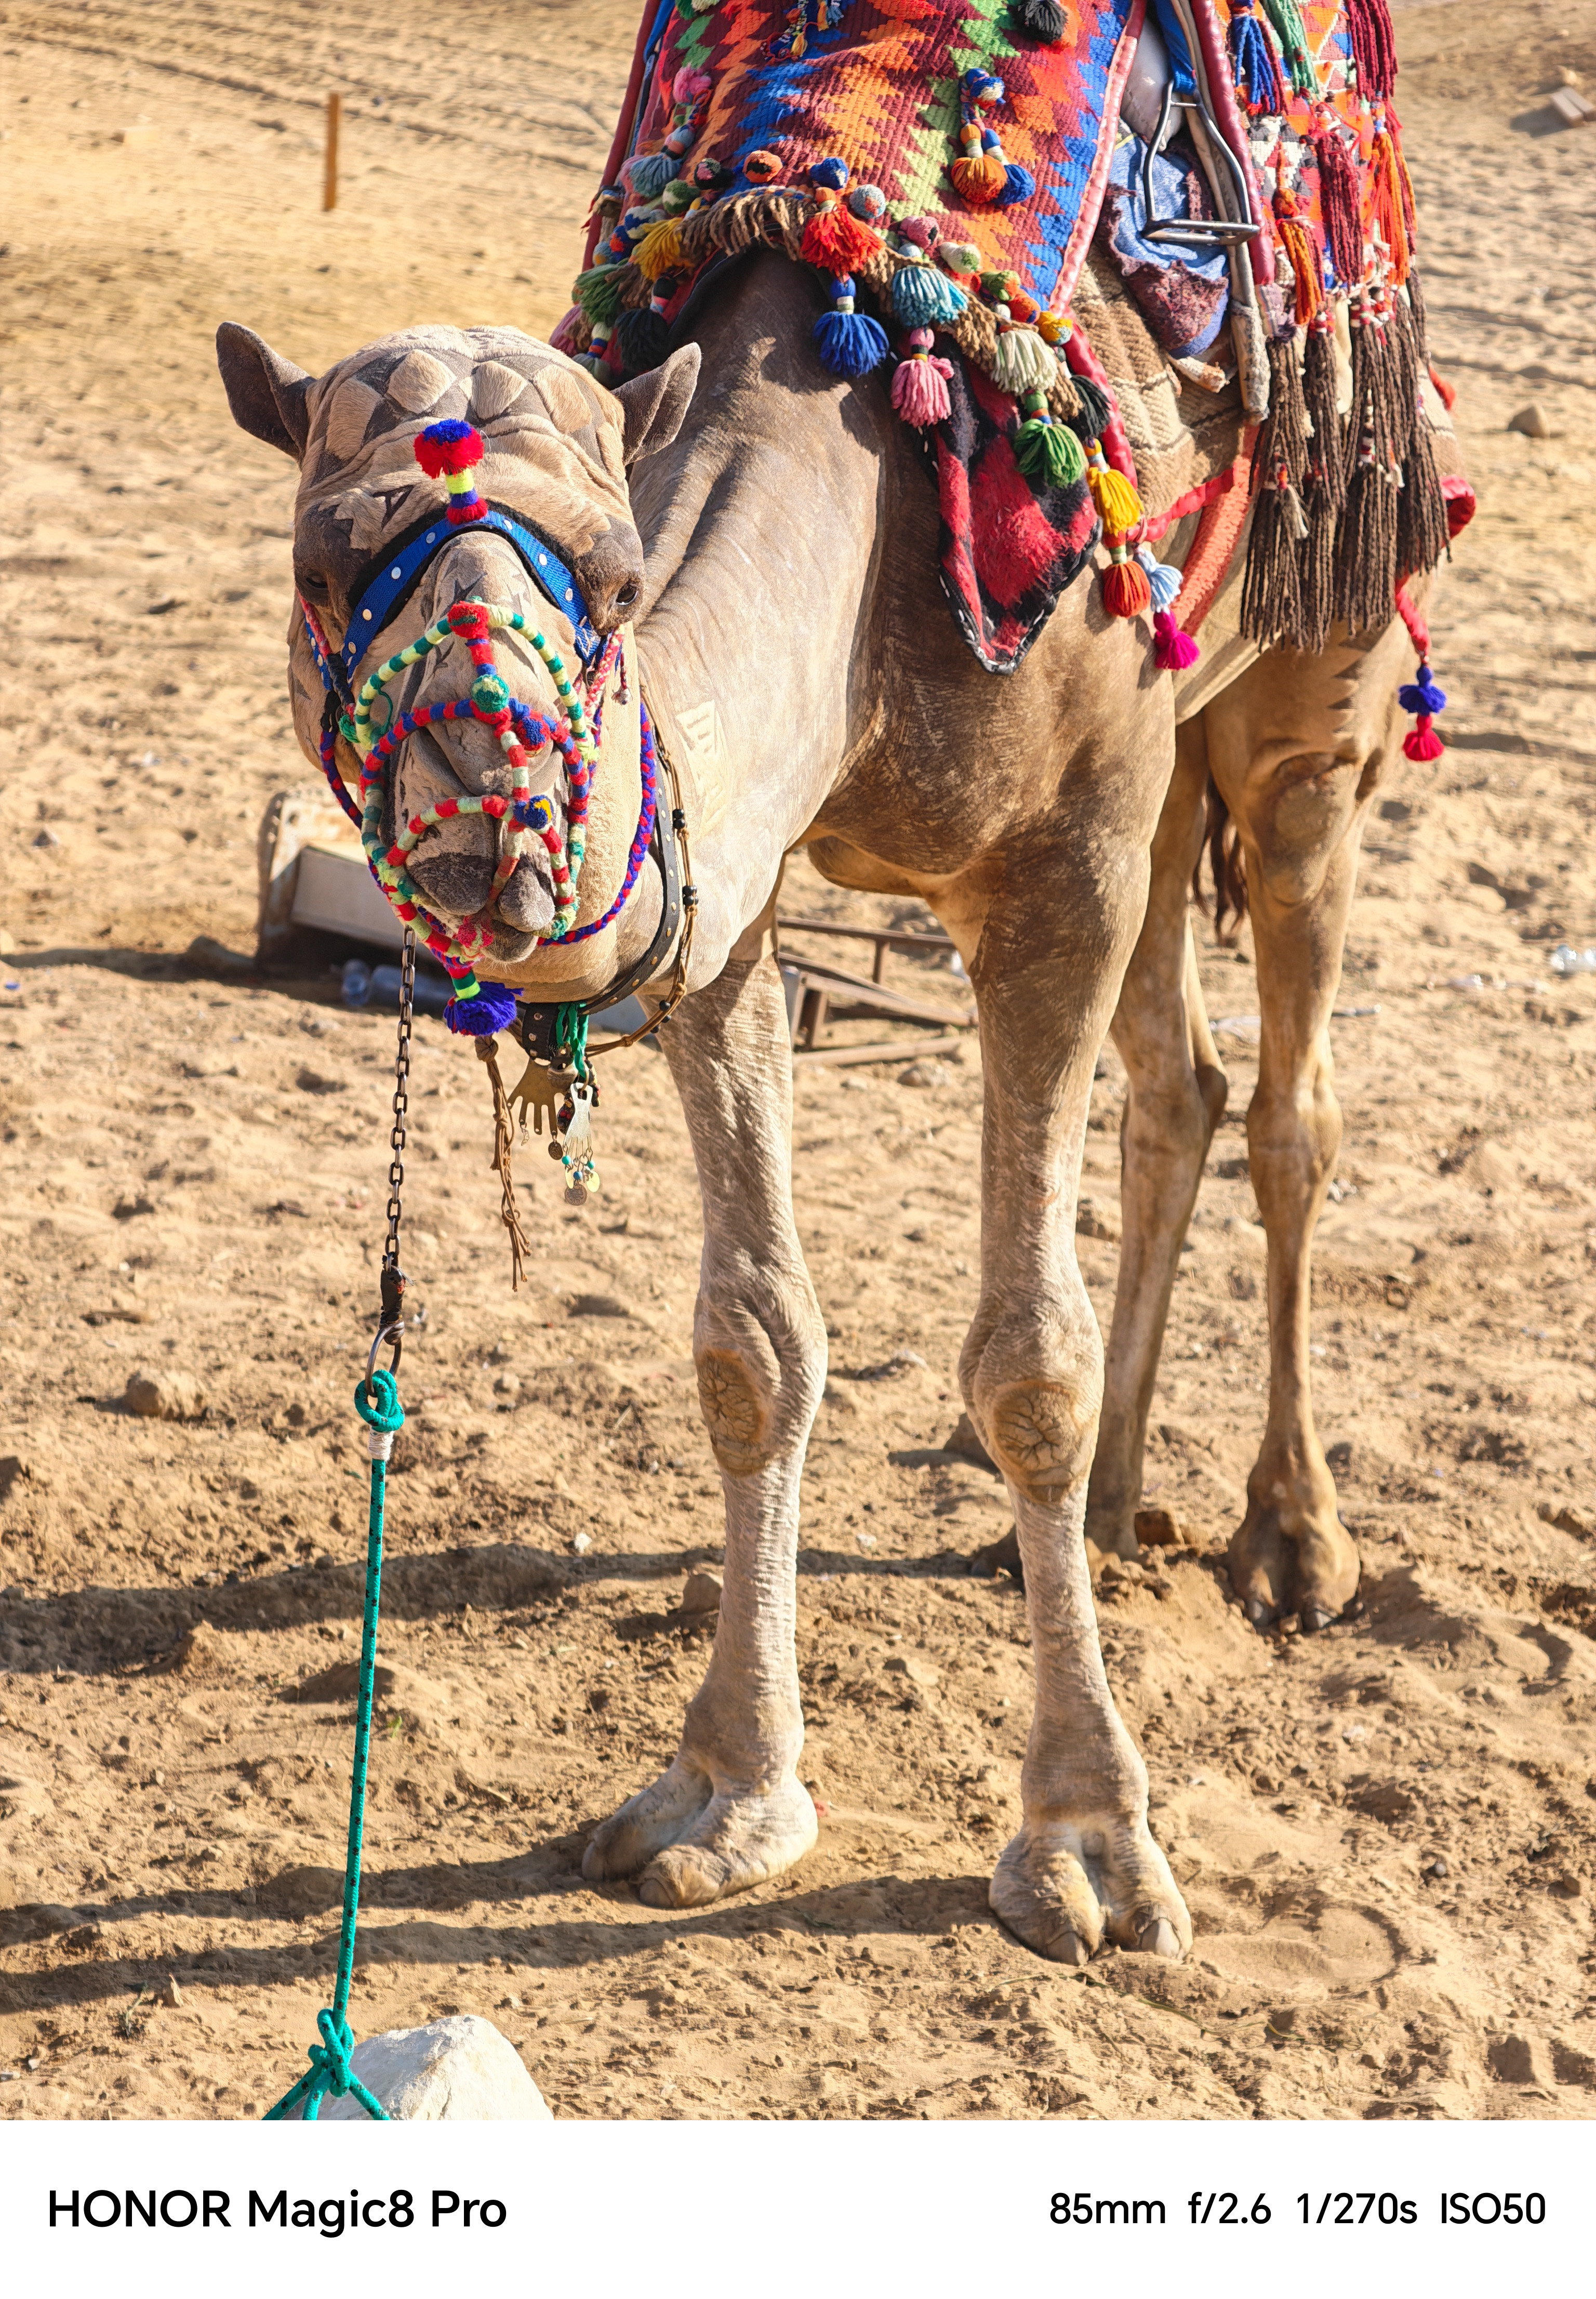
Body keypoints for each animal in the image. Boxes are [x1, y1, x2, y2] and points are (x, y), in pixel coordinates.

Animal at [216, 244, 1428, 1963]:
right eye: (326, 568)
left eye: (618, 581)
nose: (493, 812)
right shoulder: (731, 884)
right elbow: (752, 1343)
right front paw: (725, 1793)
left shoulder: (1060, 863)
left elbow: (1027, 1364)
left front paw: (1088, 1848)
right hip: (1168, 755)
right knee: (1178, 1091)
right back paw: (1110, 1513)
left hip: (1309, 693)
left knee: (1290, 1107)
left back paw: (1293, 1542)